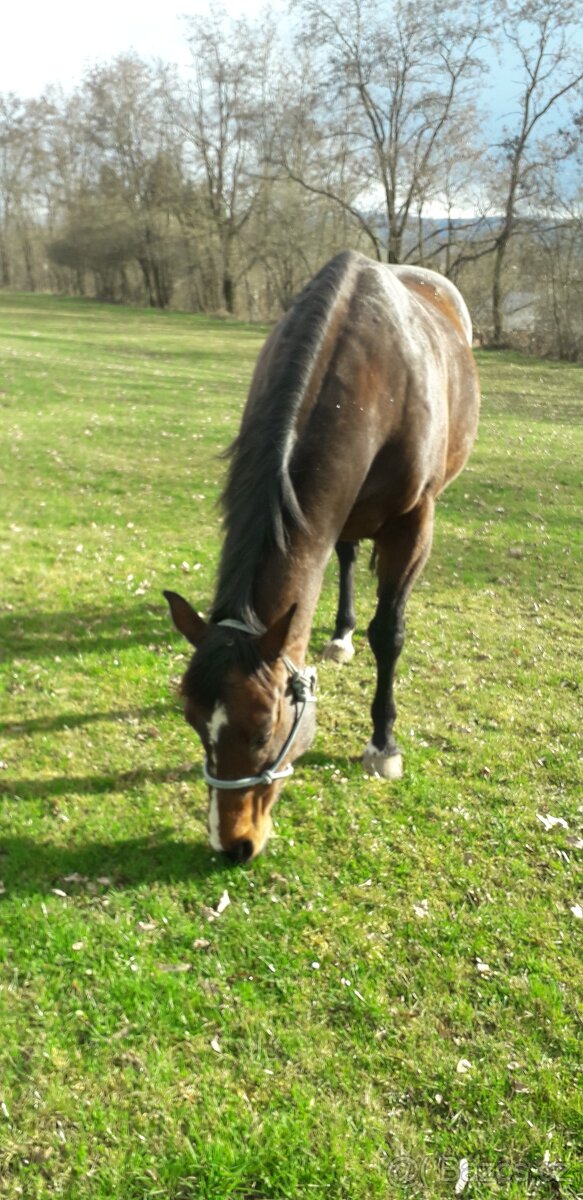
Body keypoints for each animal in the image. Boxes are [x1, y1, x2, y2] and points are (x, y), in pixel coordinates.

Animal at [164, 251, 480, 863]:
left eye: (265, 731)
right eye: (191, 722)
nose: (232, 843)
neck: (370, 374)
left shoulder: (414, 522)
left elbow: (390, 634)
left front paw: (383, 743)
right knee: (349, 558)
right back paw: (340, 633)